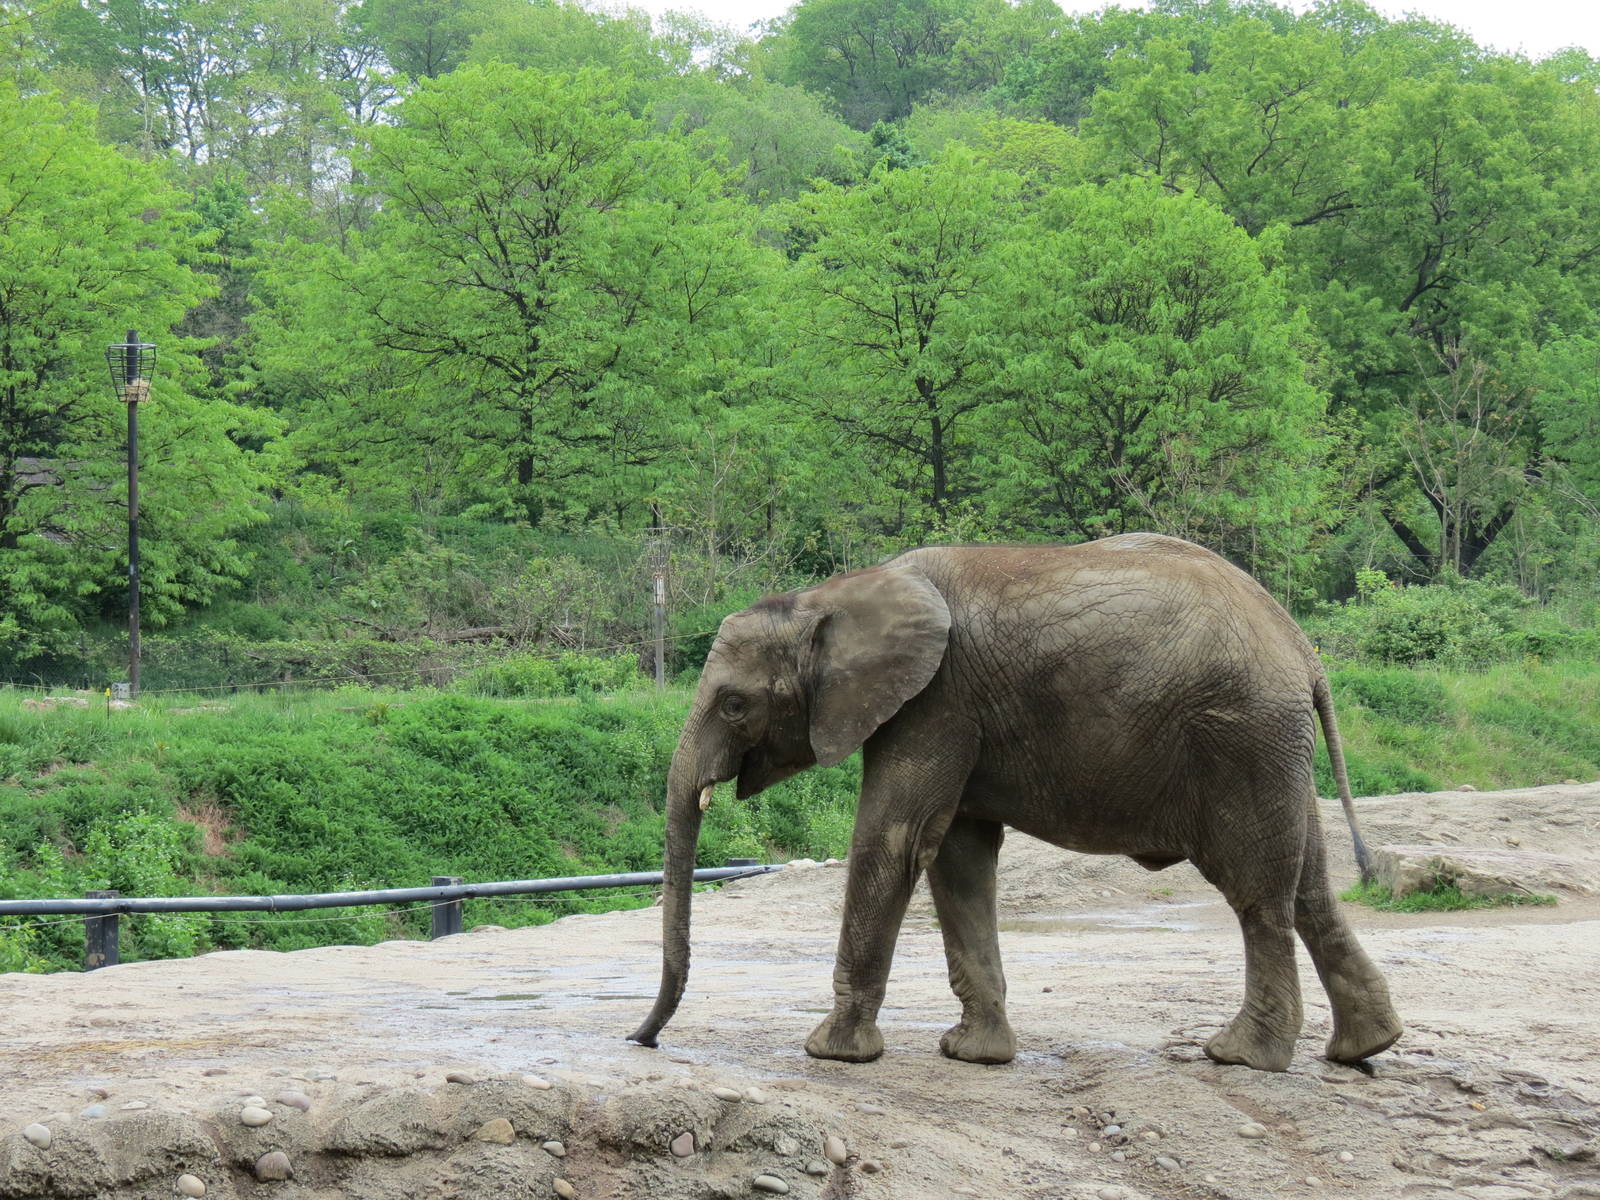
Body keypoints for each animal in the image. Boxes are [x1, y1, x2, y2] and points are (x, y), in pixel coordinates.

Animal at [630, 534, 1402, 1072]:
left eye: (734, 704)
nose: (642, 1041)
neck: (833, 595)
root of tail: (1304, 651)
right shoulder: (952, 715)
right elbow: (959, 857)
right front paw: (973, 1055)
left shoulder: (935, 702)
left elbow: (895, 840)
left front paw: (832, 1052)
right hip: (1272, 748)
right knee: (1311, 888)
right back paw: (1365, 1047)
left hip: (1241, 738)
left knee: (1259, 895)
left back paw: (1239, 1056)